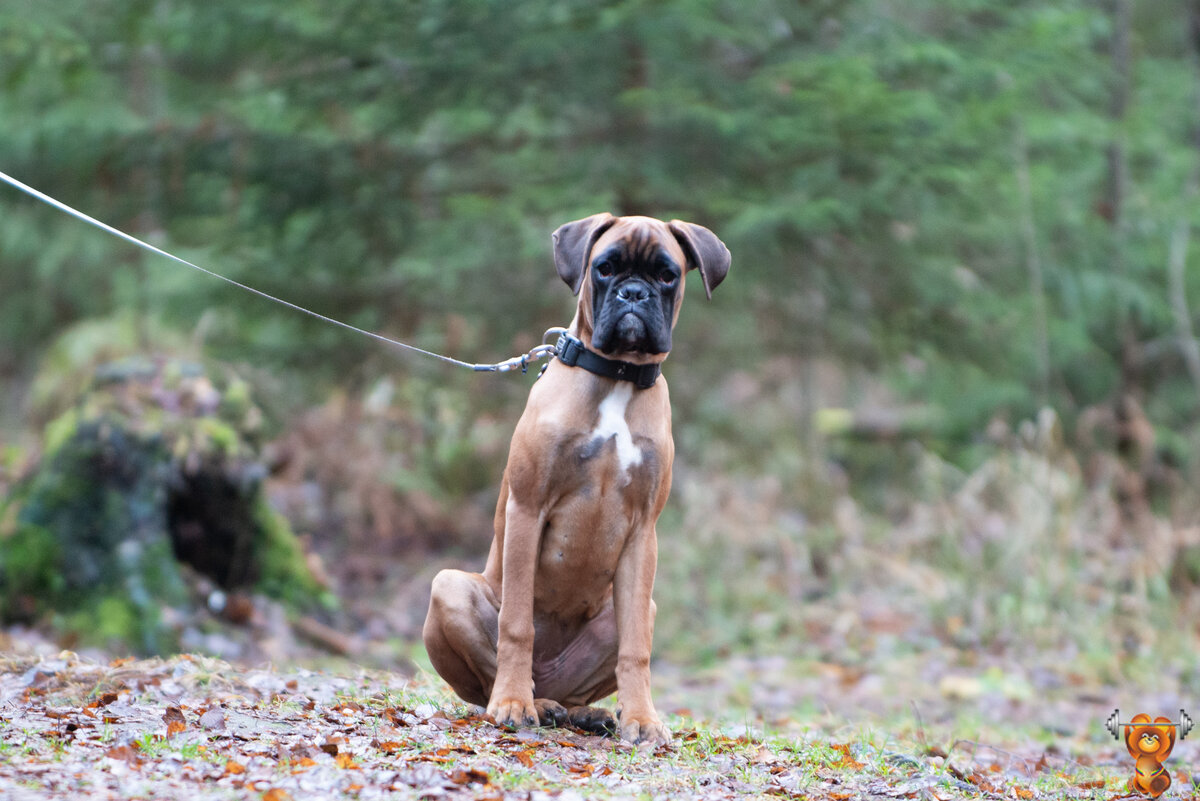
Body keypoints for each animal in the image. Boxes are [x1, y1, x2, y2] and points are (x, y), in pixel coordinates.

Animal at [422, 212, 729, 743]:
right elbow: (516, 627)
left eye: (667, 275)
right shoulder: (528, 509)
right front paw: (512, 703)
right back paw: (528, 701)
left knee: (586, 680)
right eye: (604, 268)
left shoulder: (643, 532)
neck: (618, 376)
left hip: (635, 611)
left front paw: (642, 718)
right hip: (450, 586)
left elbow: (637, 649)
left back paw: (585, 712)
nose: (633, 294)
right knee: (489, 677)